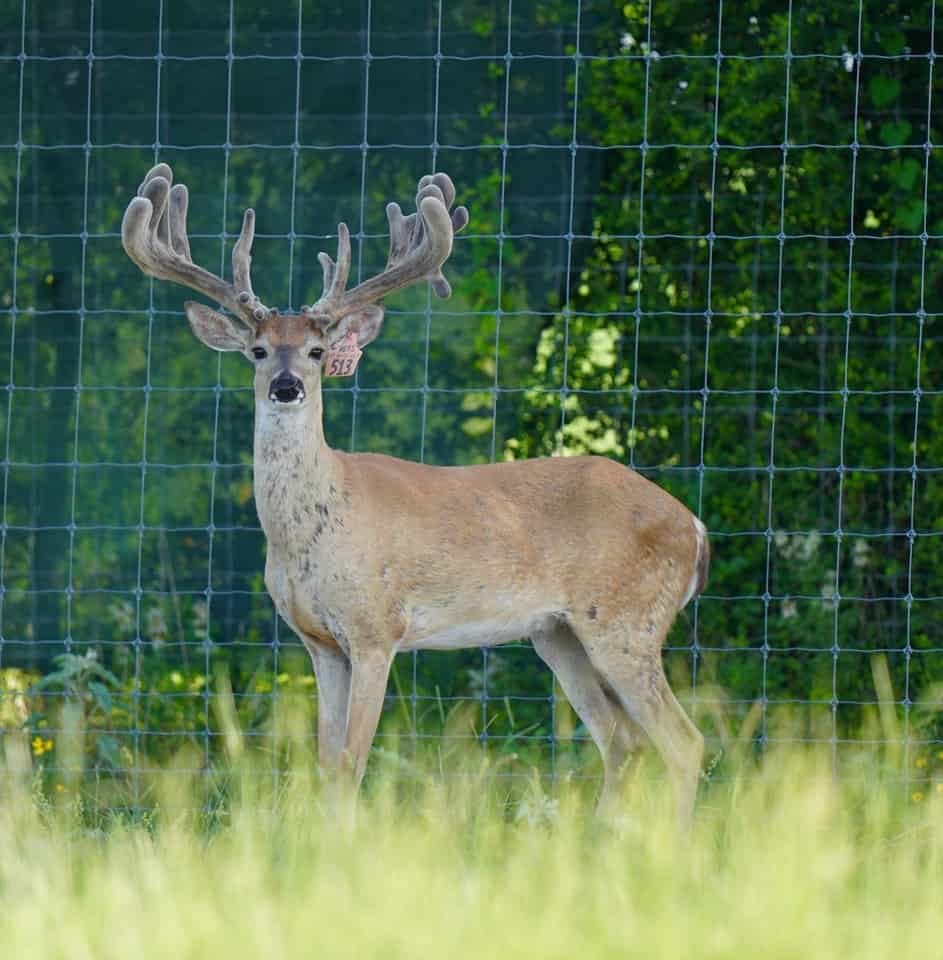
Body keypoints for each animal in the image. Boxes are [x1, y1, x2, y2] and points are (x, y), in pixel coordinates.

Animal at [122, 163, 709, 825]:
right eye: (258, 349)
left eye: (318, 351)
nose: (287, 386)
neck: (315, 528)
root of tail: (692, 527)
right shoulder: (319, 642)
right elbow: (325, 766)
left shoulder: (377, 629)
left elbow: (351, 764)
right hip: (558, 635)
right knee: (624, 742)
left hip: (627, 620)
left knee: (684, 741)